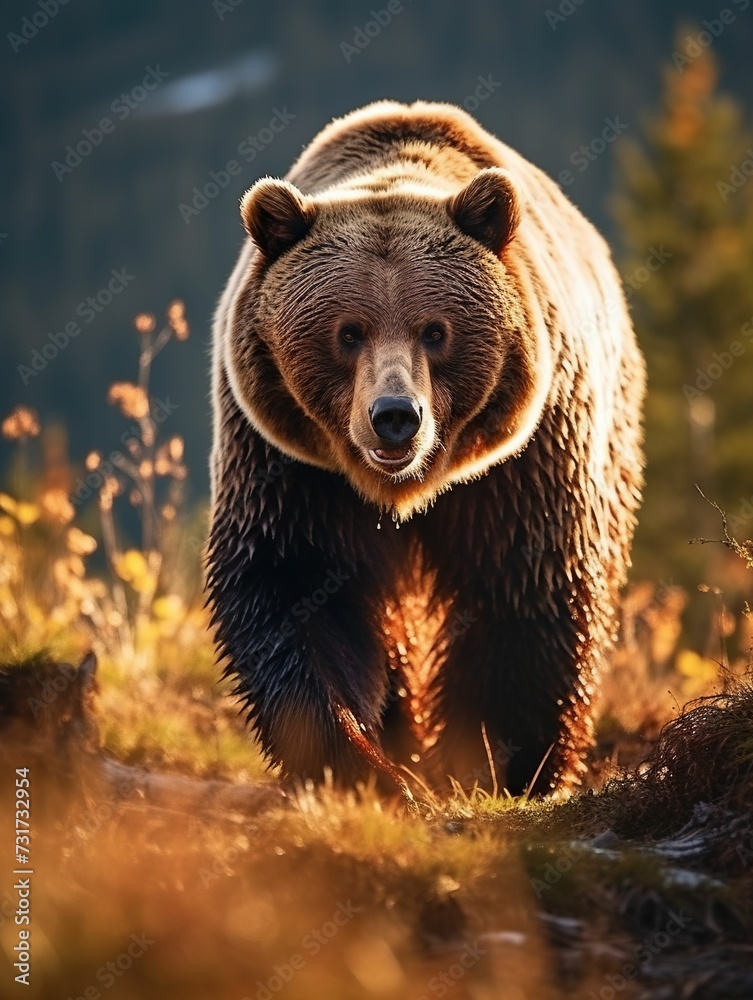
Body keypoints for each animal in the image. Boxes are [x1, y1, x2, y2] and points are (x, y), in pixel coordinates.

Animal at [206, 100, 645, 798]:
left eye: (435, 332)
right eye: (348, 332)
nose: (395, 418)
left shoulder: (524, 460)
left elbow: (525, 589)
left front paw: (500, 763)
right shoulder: (290, 464)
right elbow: (298, 585)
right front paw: (359, 760)